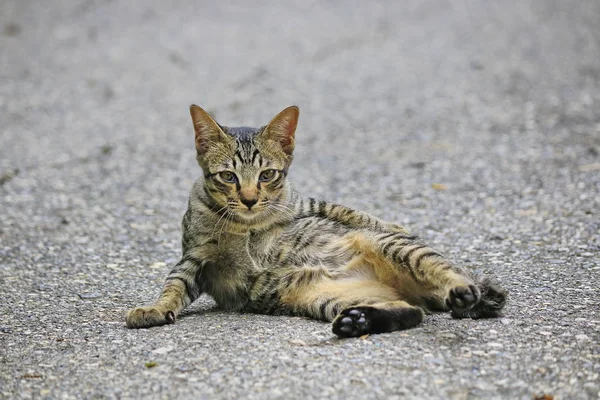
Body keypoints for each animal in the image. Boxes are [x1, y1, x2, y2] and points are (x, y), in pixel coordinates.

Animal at [125, 104, 506, 336]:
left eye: (267, 175)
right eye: (228, 177)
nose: (249, 200)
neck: (245, 225)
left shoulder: (308, 203)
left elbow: (354, 212)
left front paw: (398, 224)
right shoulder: (195, 257)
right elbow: (173, 286)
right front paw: (155, 308)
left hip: (392, 250)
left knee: (439, 270)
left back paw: (462, 289)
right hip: (325, 298)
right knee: (412, 312)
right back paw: (359, 321)